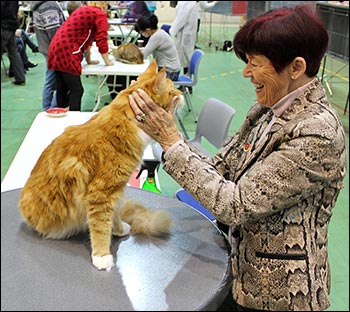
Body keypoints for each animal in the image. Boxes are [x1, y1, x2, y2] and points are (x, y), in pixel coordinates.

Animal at [18, 60, 182, 270]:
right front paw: (102, 255)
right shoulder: (101, 193)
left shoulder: (116, 191)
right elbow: (100, 226)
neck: (126, 121)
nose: (182, 93)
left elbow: (114, 216)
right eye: (173, 90)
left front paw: (119, 229)